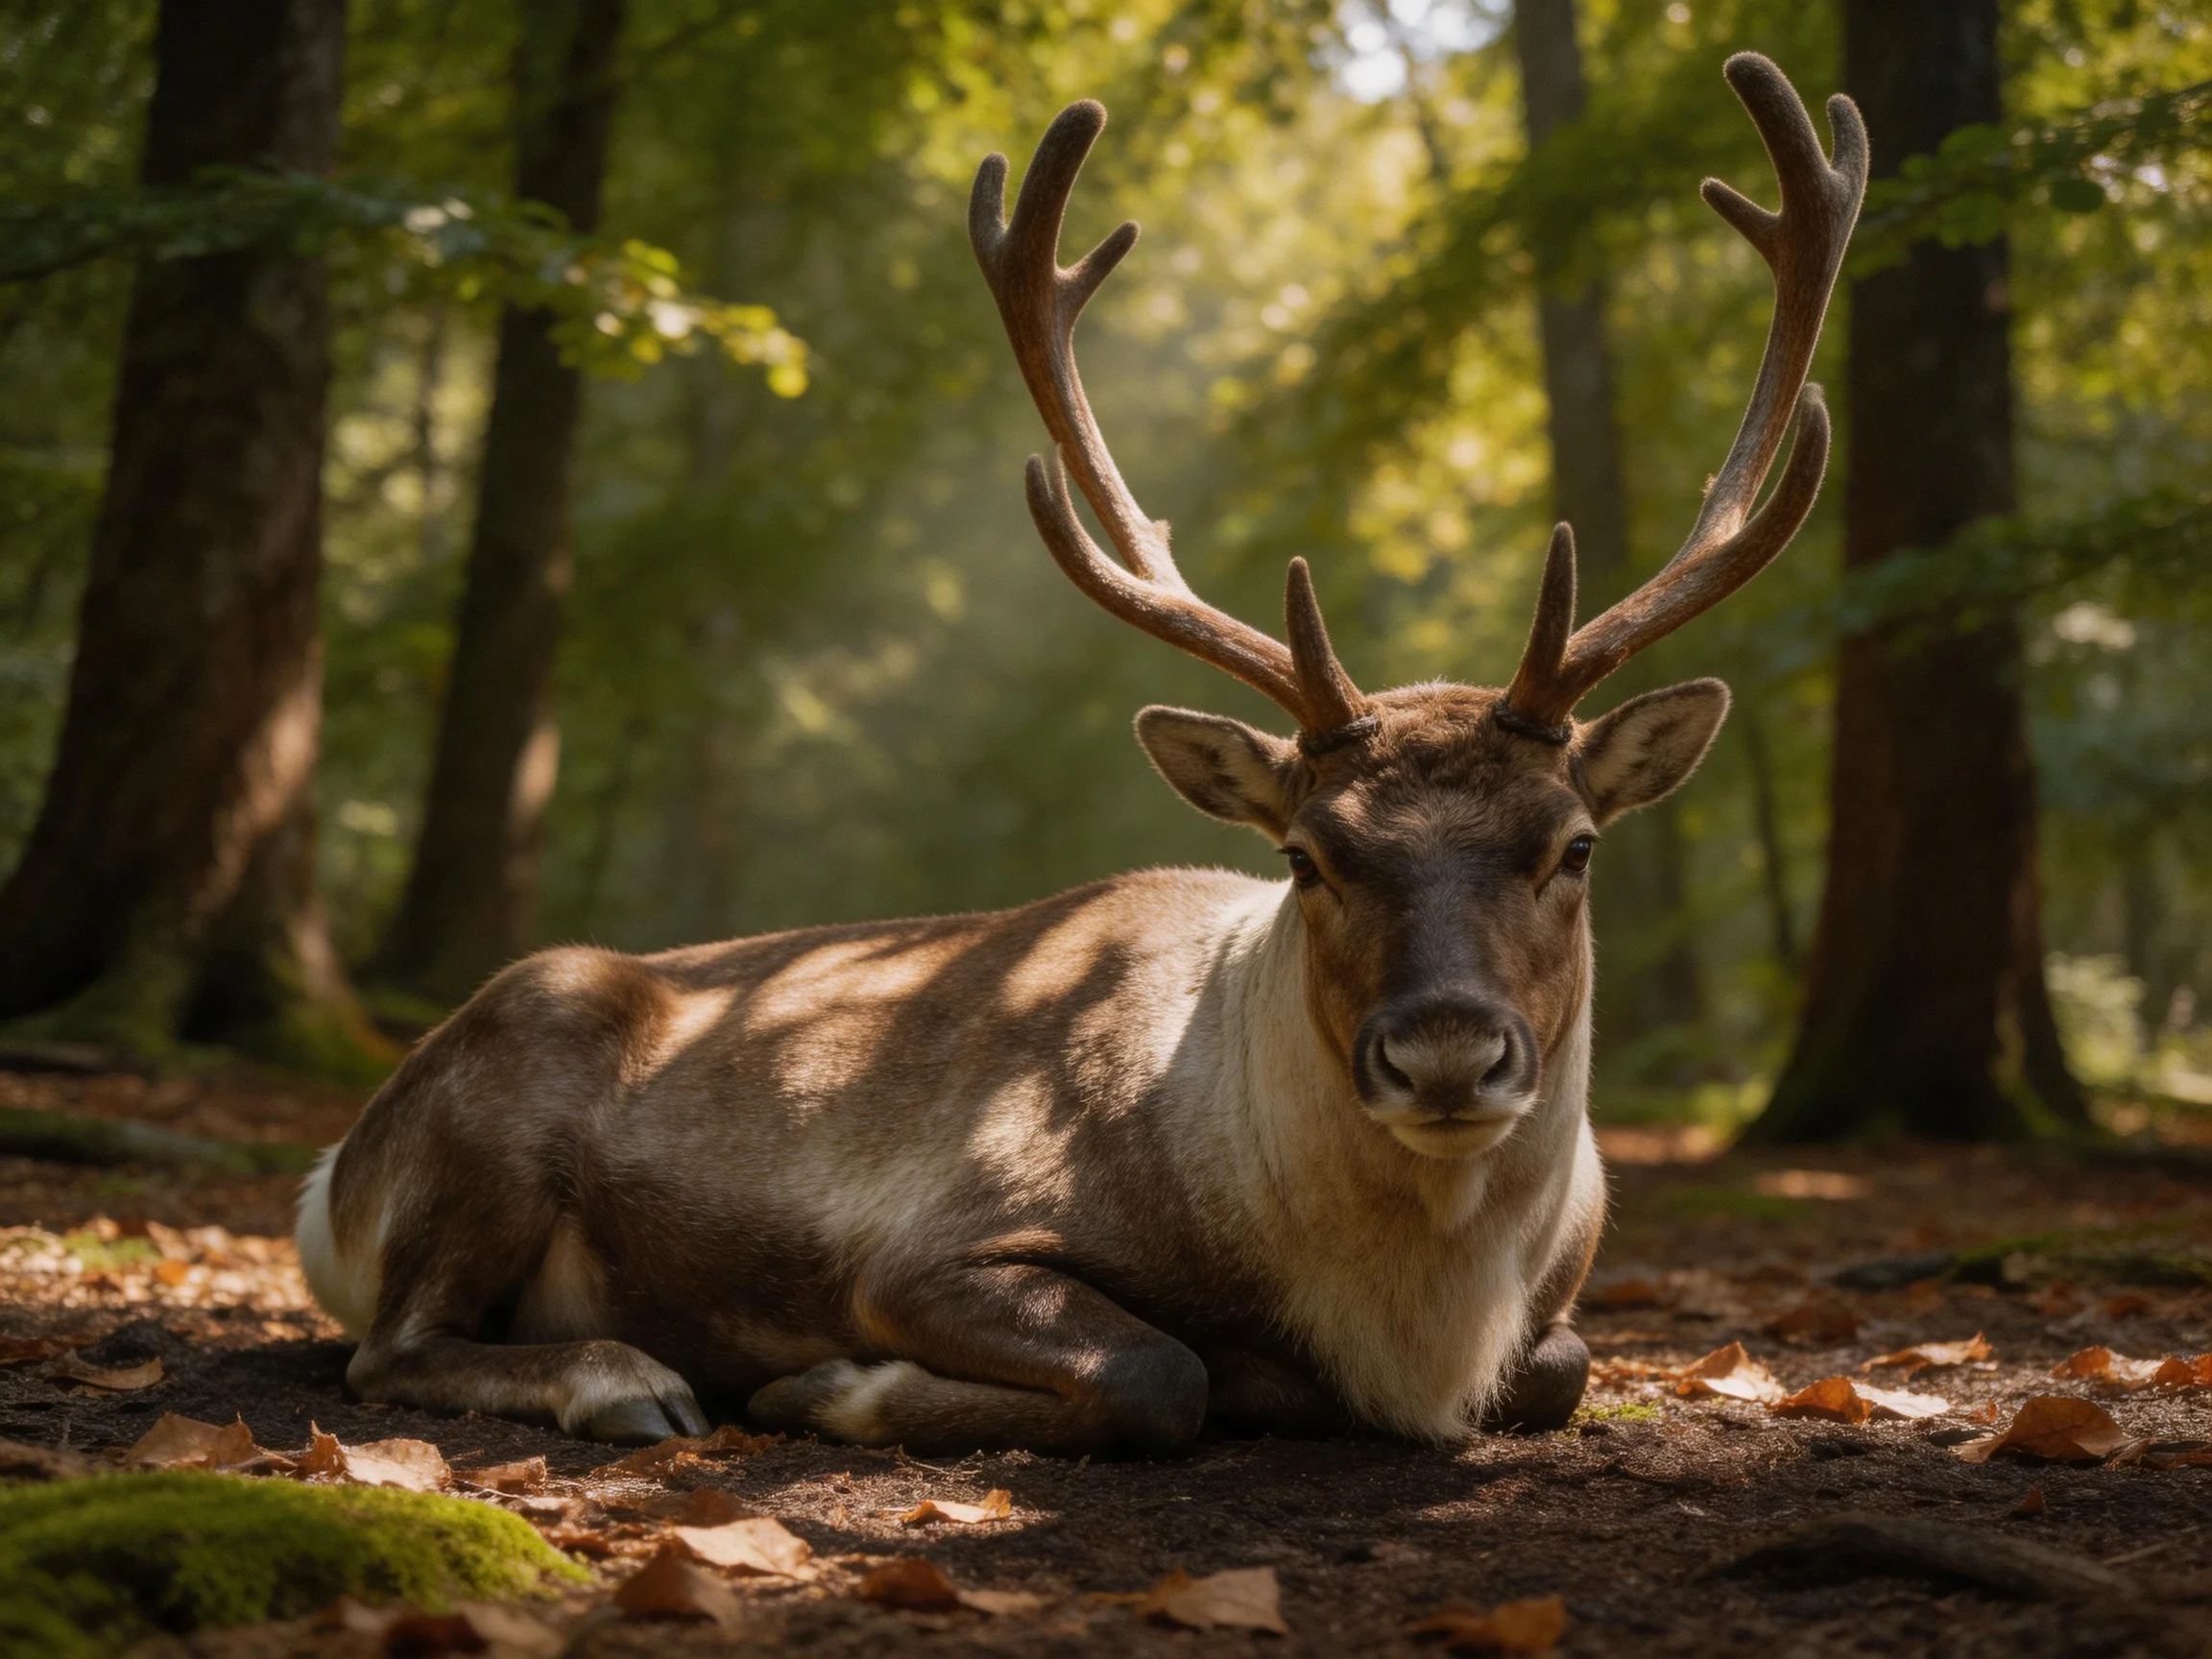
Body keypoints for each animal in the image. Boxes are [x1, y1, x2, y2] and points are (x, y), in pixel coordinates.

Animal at [297, 55, 1863, 1453]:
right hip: (500, 1100)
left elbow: (1563, 1366)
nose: (1444, 1053)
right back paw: (627, 1380)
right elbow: (1158, 1373)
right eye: (1309, 855)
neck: (1413, 1327)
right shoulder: (937, 1237)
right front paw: (830, 1388)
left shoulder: (1558, 1309)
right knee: (391, 1349)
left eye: (1575, 844)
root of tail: (328, 1185)